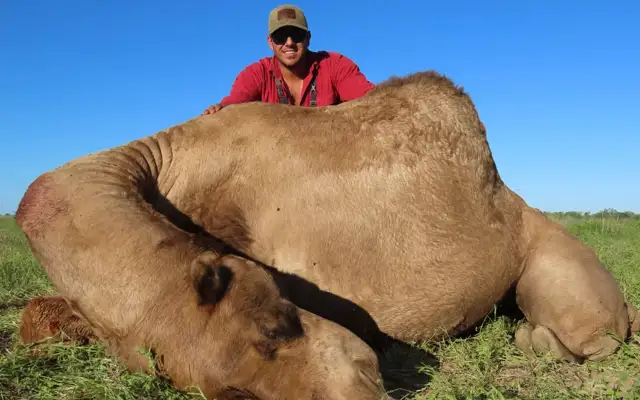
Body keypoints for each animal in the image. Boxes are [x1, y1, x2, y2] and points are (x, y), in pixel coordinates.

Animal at [16, 69, 639, 389]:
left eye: (276, 324)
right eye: (225, 393)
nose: (360, 383)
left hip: (560, 268)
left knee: (591, 330)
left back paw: (532, 338)